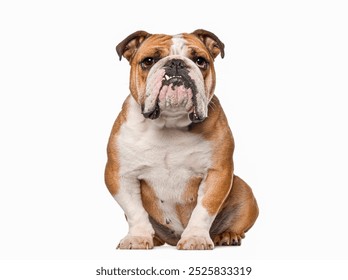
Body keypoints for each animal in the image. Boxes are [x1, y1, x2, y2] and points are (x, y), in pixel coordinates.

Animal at [105, 30, 258, 249]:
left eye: (200, 61)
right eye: (148, 61)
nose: (176, 63)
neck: (170, 123)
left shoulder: (218, 172)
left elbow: (205, 208)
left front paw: (195, 238)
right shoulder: (120, 175)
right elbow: (135, 211)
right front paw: (137, 237)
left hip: (244, 189)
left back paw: (227, 235)